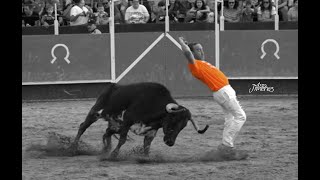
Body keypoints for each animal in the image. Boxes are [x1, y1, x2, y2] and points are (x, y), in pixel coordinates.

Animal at [71, 82, 209, 157]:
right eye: (173, 120)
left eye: (183, 126)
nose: (170, 142)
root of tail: (113, 86)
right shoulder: (127, 120)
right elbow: (122, 140)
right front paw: (114, 155)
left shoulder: (150, 132)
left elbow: (146, 147)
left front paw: (145, 158)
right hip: (96, 112)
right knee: (83, 126)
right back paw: (73, 147)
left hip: (116, 124)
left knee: (106, 133)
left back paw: (105, 149)